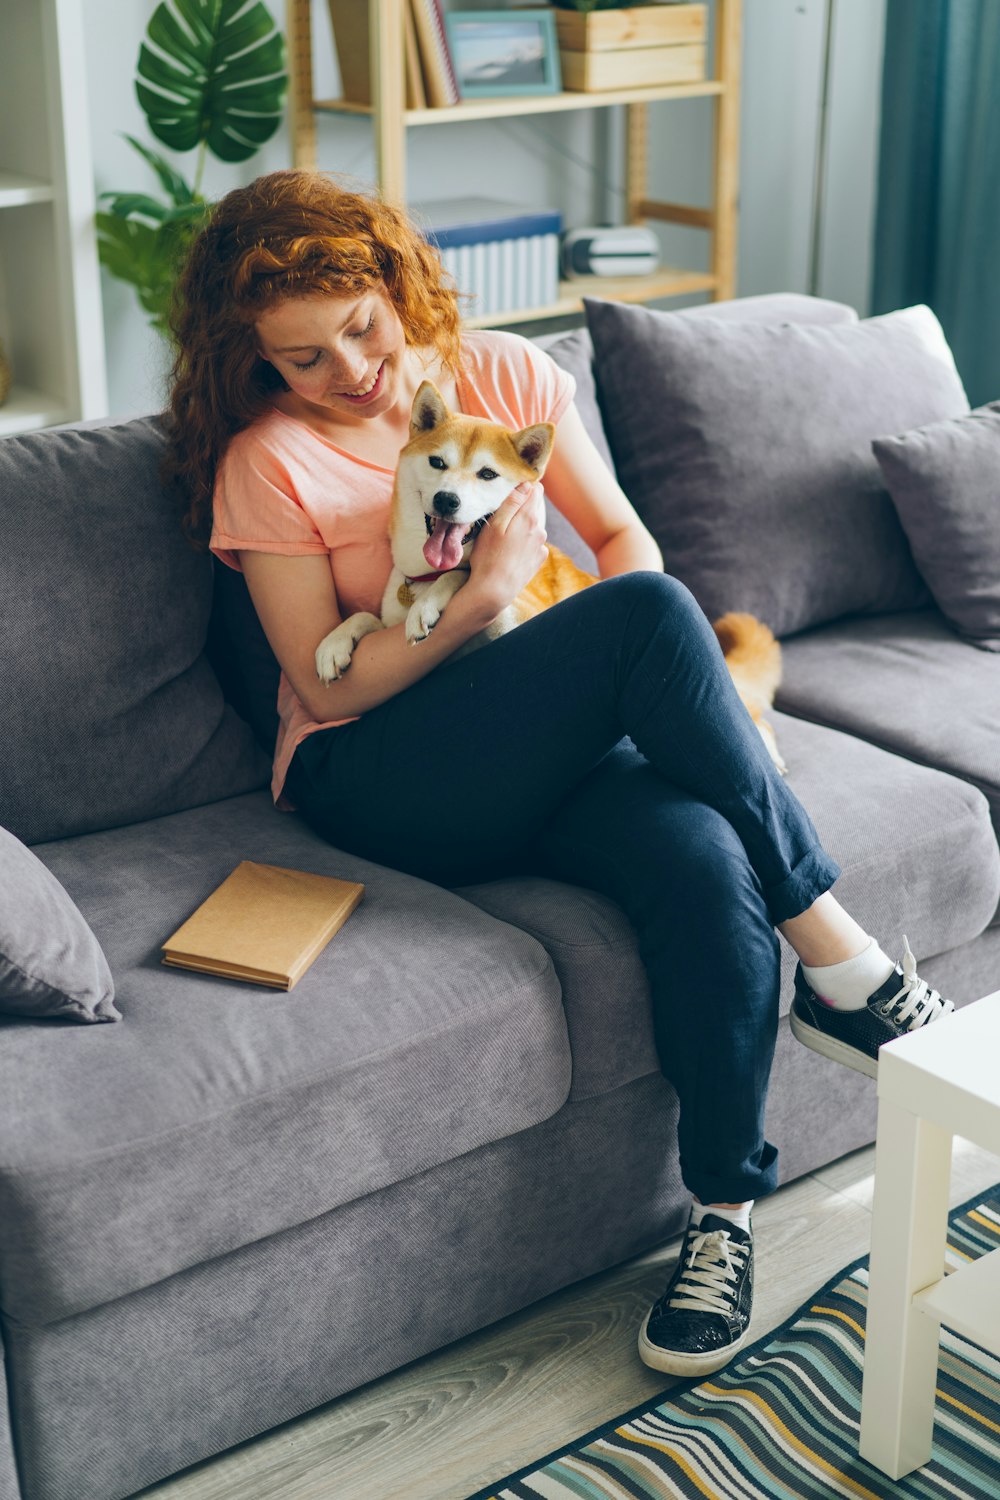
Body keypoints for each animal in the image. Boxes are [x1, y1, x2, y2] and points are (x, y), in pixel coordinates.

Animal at [316, 375, 785, 774]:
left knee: (753, 714)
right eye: (437, 462)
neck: (424, 576)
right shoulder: (392, 625)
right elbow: (365, 617)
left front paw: (431, 604)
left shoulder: (514, 614)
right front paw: (335, 643)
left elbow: (463, 576)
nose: (447, 500)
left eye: (488, 473)